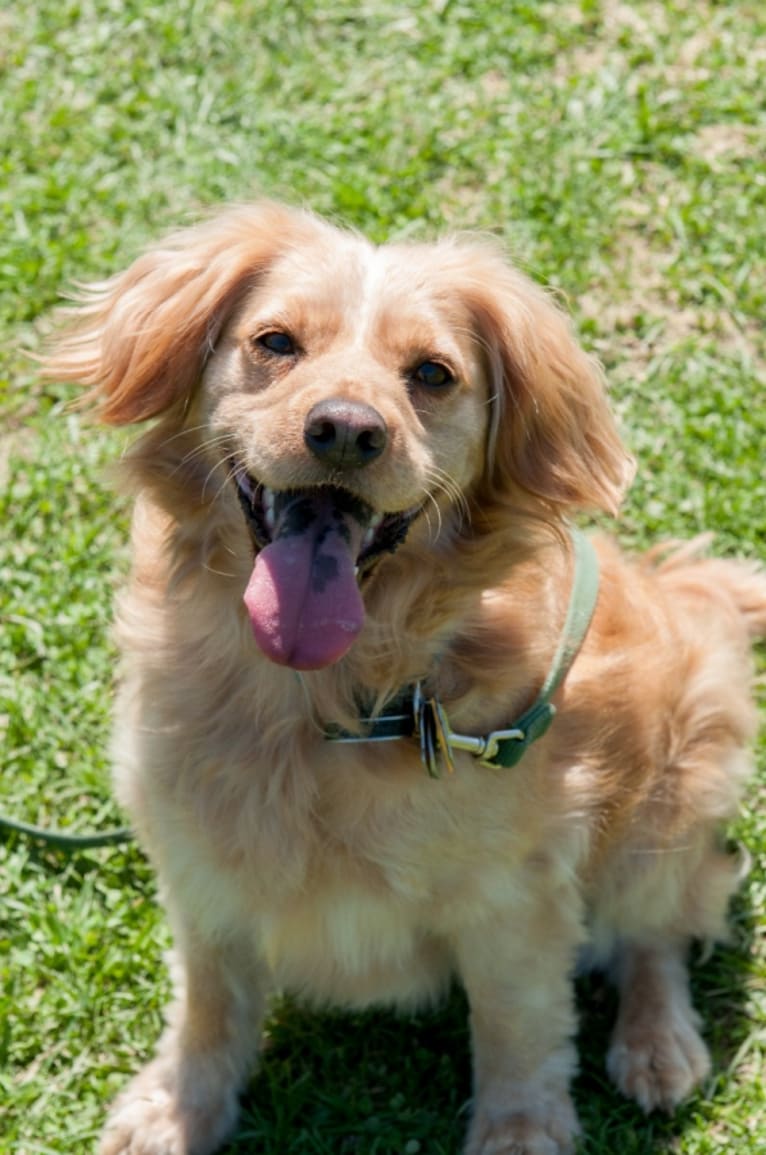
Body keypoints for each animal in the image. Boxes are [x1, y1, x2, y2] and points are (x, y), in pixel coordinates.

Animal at [49, 205, 766, 1155]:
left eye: (432, 373)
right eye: (275, 342)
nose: (347, 430)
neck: (326, 699)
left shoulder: (516, 897)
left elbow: (518, 1025)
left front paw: (520, 1130)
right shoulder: (200, 862)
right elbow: (208, 1003)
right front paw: (178, 1107)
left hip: (670, 797)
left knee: (663, 926)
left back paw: (658, 1043)